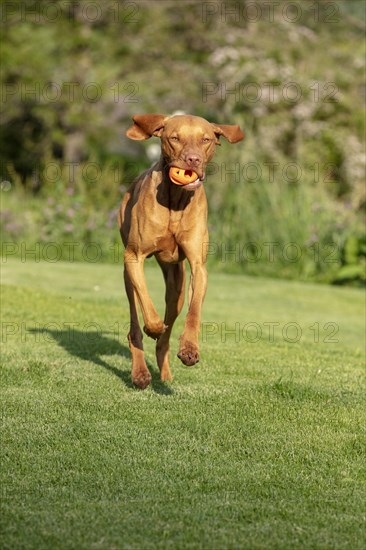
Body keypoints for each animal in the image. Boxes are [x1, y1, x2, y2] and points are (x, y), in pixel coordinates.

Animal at [119, 113, 243, 388]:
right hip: (127, 276)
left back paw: (165, 374)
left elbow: (194, 310)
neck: (175, 199)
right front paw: (153, 327)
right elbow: (147, 302)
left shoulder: (198, 266)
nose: (193, 160)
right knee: (134, 322)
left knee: (165, 336)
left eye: (206, 139)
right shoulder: (134, 257)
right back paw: (140, 372)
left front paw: (189, 349)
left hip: (176, 286)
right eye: (174, 138)